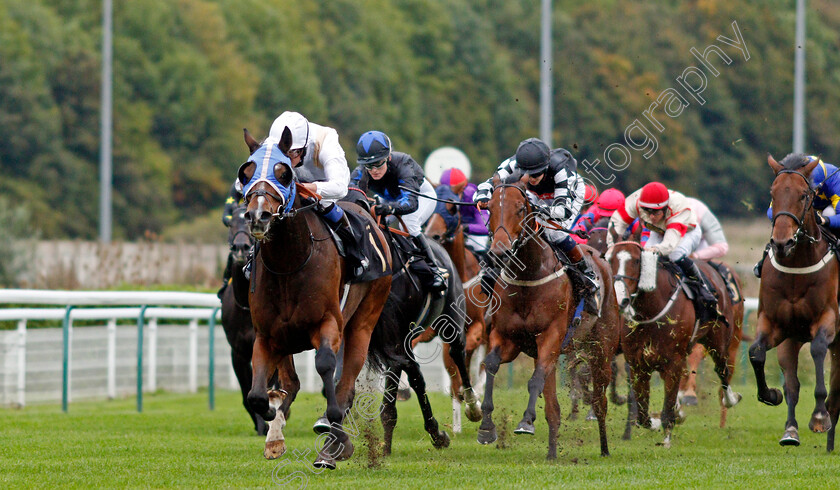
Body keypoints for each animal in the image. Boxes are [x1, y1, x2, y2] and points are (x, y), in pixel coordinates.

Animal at [240, 128, 390, 468]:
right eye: (247, 172)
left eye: (284, 173)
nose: (258, 215)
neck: (289, 262)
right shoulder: (267, 335)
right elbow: (259, 394)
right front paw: (273, 425)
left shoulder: (328, 323)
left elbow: (325, 367)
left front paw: (336, 438)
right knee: (291, 383)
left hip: (364, 321)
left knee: (346, 382)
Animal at [476, 181, 620, 460]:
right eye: (489, 208)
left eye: (521, 209)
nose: (500, 252)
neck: (527, 276)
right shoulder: (507, 338)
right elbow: (491, 365)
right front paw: (486, 427)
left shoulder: (551, 337)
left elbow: (535, 380)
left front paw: (525, 421)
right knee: (554, 408)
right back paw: (552, 453)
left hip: (601, 347)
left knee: (600, 400)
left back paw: (606, 448)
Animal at [604, 239, 740, 446]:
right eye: (610, 259)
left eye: (636, 261)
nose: (620, 300)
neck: (651, 312)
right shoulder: (637, 365)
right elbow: (643, 413)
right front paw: (655, 422)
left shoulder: (672, 362)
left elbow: (666, 407)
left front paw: (666, 438)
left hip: (718, 340)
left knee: (723, 370)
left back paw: (730, 399)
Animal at [752, 154, 836, 448]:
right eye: (772, 194)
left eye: (802, 195)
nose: (782, 242)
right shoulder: (775, 324)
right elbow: (756, 352)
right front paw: (770, 394)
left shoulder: (828, 319)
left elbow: (819, 349)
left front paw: (820, 416)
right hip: (792, 339)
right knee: (793, 384)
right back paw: (790, 430)